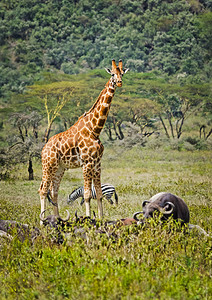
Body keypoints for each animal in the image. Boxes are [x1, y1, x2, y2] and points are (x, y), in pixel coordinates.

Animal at [38, 59, 127, 221]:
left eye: (122, 73)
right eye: (112, 74)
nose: (119, 82)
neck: (94, 130)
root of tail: (43, 149)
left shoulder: (97, 163)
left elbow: (99, 194)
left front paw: (101, 219)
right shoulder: (86, 163)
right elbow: (86, 195)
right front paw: (88, 219)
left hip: (59, 168)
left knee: (53, 192)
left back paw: (57, 219)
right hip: (48, 165)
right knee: (42, 190)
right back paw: (42, 221)